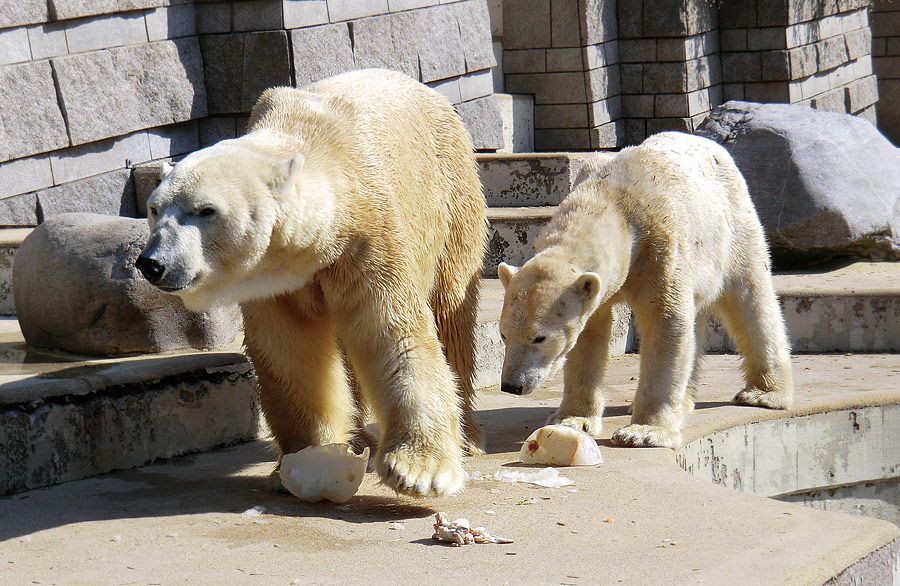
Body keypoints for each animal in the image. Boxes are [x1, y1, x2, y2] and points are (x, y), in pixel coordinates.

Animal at [135, 70, 486, 496]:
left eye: (205, 210)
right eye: (154, 209)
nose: (153, 264)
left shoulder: (367, 238)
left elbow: (391, 331)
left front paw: (417, 470)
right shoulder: (275, 280)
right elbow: (290, 350)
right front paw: (310, 458)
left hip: (451, 194)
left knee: (451, 309)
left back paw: (467, 434)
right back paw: (358, 437)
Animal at [500, 131, 796, 448]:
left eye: (539, 338)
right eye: (503, 334)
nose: (511, 385)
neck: (614, 197)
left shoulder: (659, 246)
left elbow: (666, 323)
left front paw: (643, 432)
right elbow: (588, 333)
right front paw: (572, 419)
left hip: (733, 223)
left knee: (750, 296)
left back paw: (764, 393)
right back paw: (684, 400)